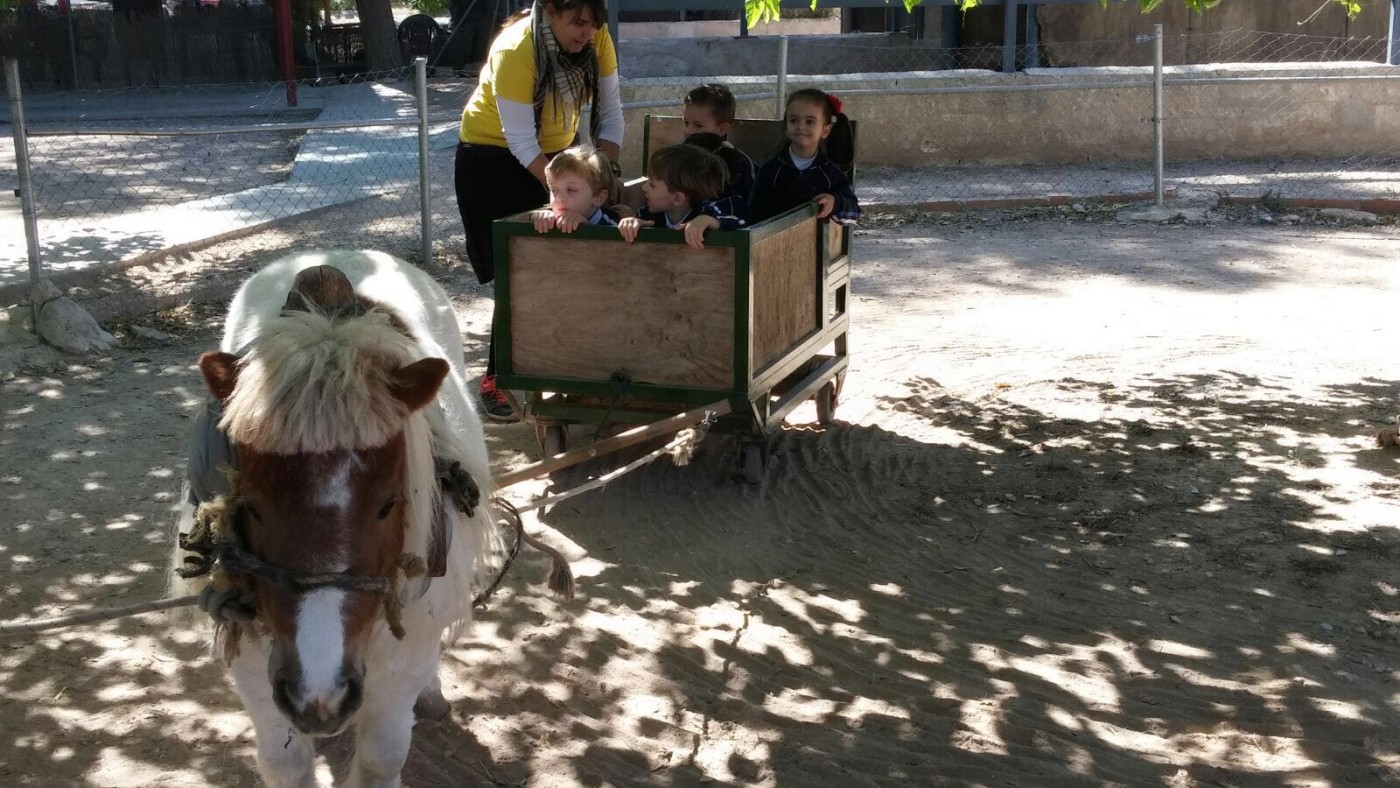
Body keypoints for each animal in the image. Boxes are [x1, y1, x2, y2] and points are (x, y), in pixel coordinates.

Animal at [170, 253, 504, 788]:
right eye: (252, 506)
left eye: (389, 503)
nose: (319, 691)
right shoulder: (256, 671)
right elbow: (283, 763)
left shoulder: (401, 666)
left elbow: (381, 758)